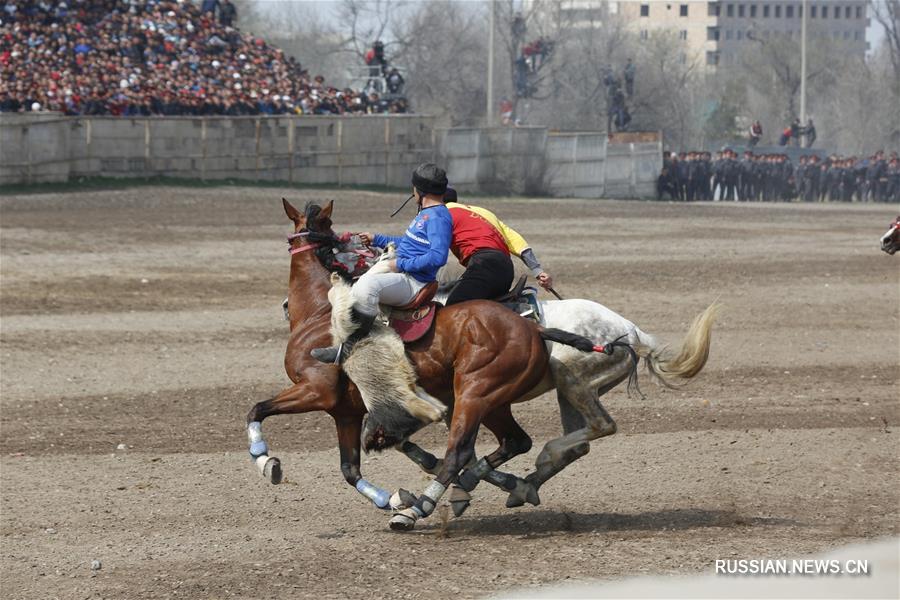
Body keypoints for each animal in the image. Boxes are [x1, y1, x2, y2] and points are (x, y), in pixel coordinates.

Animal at [246, 200, 624, 528]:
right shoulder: (346, 412)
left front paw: (266, 461)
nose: (283, 306)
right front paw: (392, 497)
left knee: (461, 450)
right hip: (494, 400)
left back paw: (419, 509)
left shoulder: (315, 391)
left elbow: (257, 410)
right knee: (515, 442)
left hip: (476, 392)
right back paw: (500, 486)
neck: (320, 314)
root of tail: (533, 327)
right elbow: (350, 470)